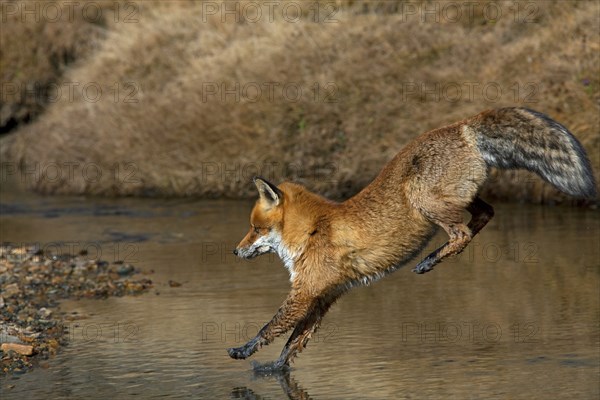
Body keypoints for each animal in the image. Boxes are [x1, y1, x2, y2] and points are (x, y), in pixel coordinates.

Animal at [229, 108, 596, 370]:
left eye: (256, 228)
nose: (235, 251)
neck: (312, 229)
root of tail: (461, 125)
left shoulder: (304, 293)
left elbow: (270, 327)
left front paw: (244, 350)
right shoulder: (324, 297)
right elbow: (293, 342)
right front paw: (275, 369)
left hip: (423, 199)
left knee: (463, 232)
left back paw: (428, 261)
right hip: (457, 198)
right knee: (486, 213)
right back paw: (433, 258)